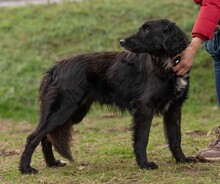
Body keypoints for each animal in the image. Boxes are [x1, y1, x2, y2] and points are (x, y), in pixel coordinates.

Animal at [19, 18, 196, 174]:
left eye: (147, 30)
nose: (121, 41)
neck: (167, 64)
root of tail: (54, 69)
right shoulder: (145, 107)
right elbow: (142, 138)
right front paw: (144, 164)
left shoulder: (174, 108)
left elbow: (176, 137)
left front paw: (182, 159)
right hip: (63, 110)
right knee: (33, 137)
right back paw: (25, 168)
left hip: (74, 112)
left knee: (46, 136)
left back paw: (52, 163)